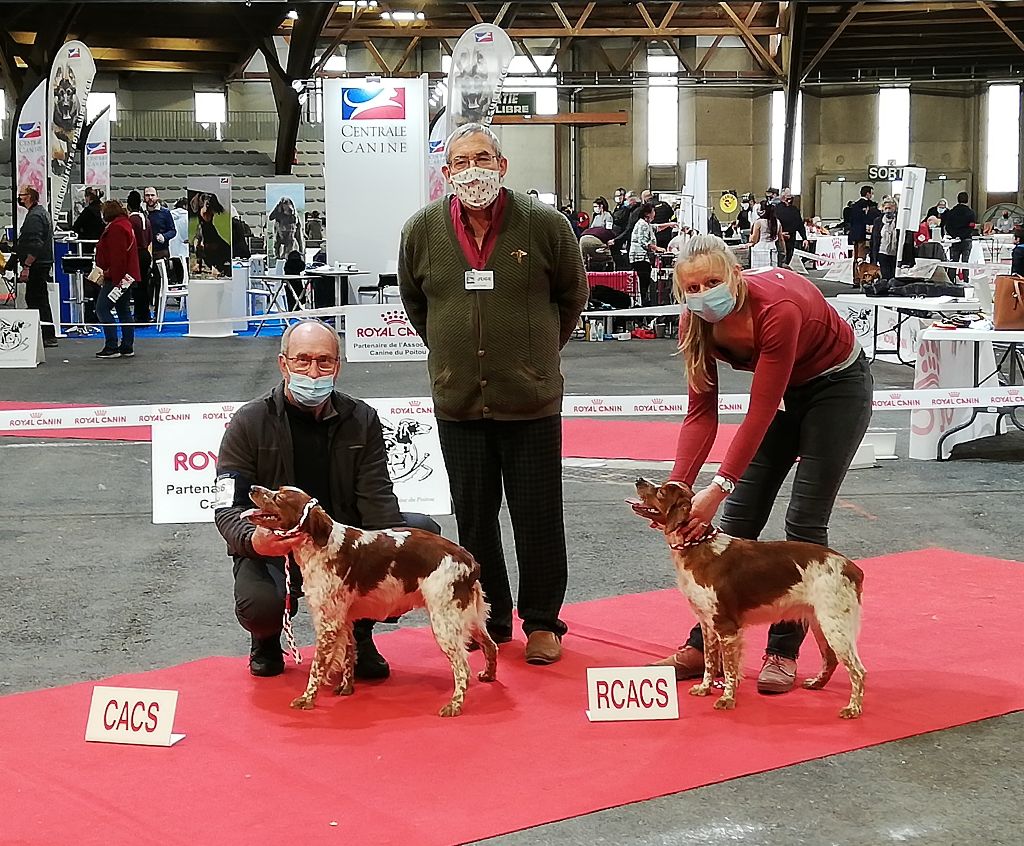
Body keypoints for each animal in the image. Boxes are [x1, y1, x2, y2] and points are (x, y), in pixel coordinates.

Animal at [240, 485, 495, 716]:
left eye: (279, 497)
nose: (252, 487)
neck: (320, 544)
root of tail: (469, 561)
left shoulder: (328, 623)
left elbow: (317, 667)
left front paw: (307, 699)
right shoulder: (343, 619)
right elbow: (348, 655)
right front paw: (346, 688)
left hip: (445, 622)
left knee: (463, 668)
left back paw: (454, 705)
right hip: (466, 617)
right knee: (490, 645)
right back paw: (489, 676)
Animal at [630, 477, 864, 716]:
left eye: (661, 492)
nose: (639, 480)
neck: (698, 546)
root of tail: (852, 567)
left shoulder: (727, 627)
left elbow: (730, 669)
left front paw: (727, 699)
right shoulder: (707, 624)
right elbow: (709, 661)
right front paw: (704, 688)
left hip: (835, 624)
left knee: (858, 670)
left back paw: (853, 708)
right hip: (821, 622)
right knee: (831, 658)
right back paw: (816, 684)